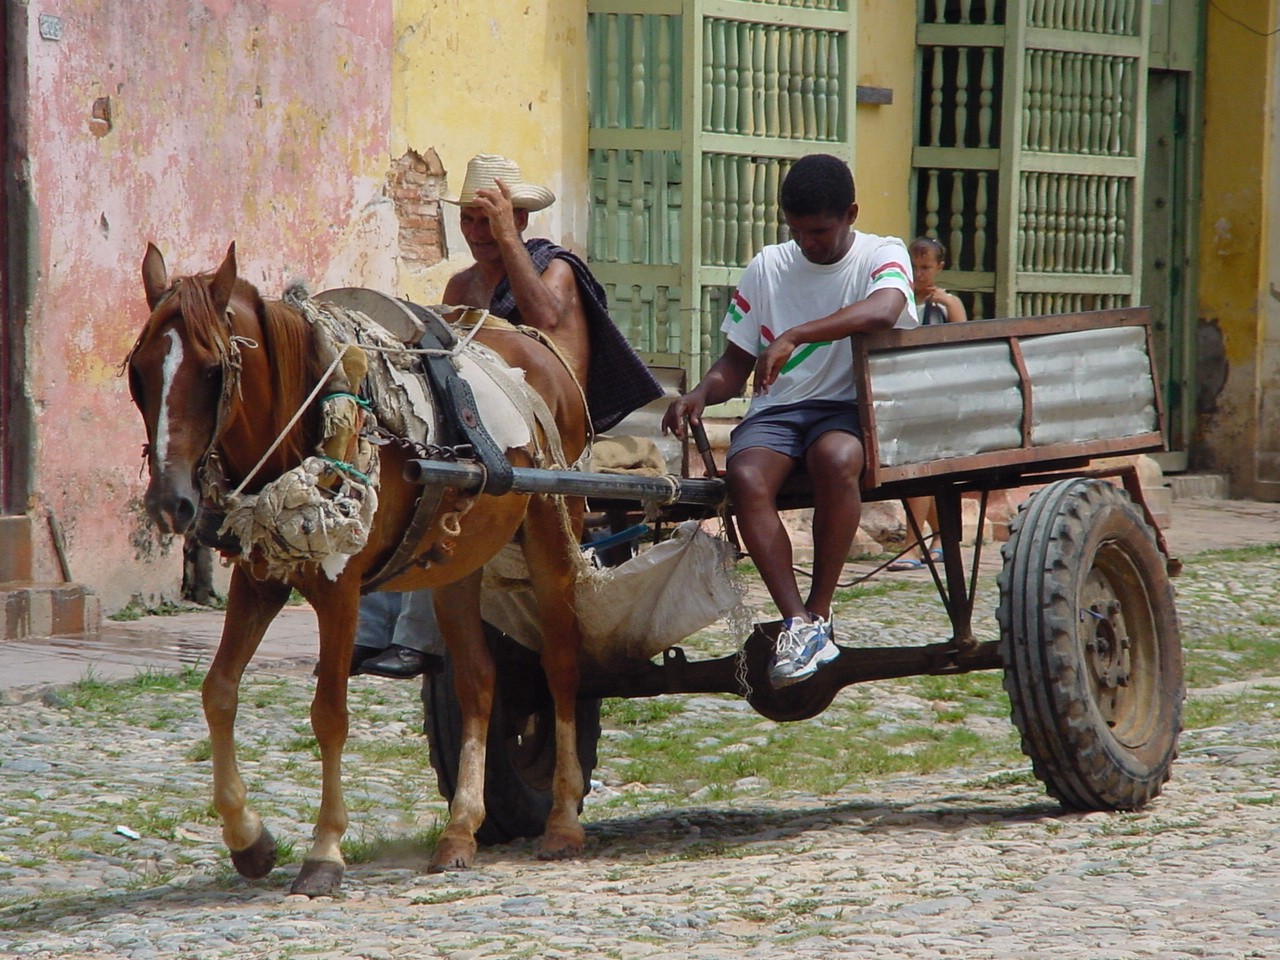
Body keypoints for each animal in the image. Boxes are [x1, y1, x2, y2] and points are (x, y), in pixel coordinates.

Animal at [124, 244, 588, 901]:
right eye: (138, 374)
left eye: (214, 371)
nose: (171, 503)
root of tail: (538, 347)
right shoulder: (260, 578)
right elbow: (218, 692)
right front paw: (249, 839)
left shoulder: (339, 587)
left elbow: (330, 713)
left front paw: (324, 852)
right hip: (455, 560)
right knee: (478, 680)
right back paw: (460, 831)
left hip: (554, 529)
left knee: (562, 666)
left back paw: (564, 820)